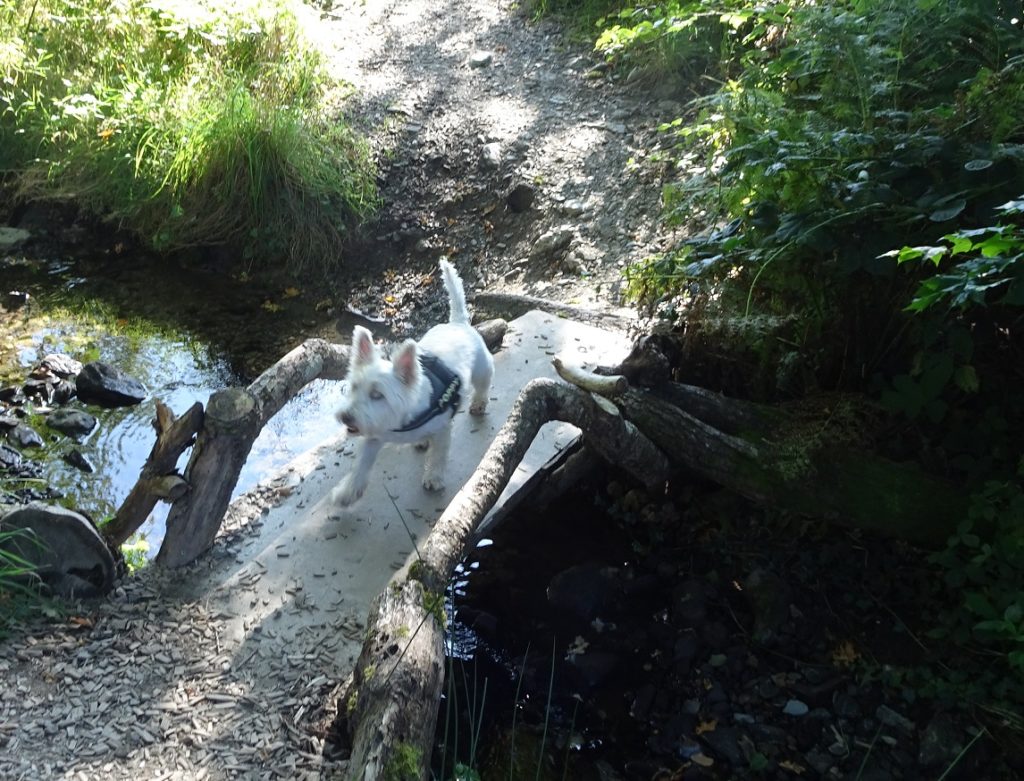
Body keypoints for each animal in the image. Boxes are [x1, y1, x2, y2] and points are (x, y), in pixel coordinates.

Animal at [333, 259, 493, 509]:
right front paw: (347, 492)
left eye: (377, 395)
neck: (401, 422)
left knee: (483, 385)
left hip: (482, 369)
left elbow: (438, 455)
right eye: (354, 387)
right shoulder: (374, 437)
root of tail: (457, 323)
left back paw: (478, 403)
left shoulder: (442, 429)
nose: (346, 417)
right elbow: (361, 465)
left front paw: (434, 477)